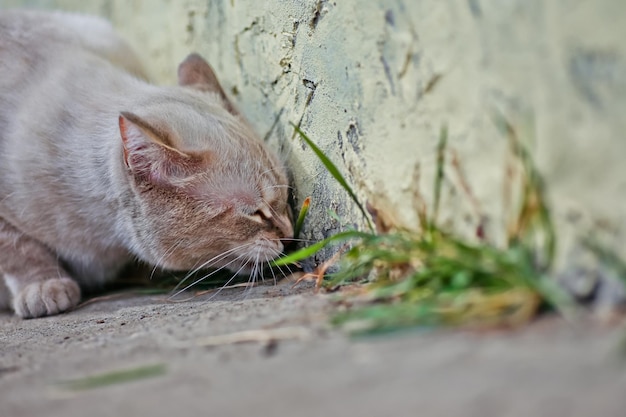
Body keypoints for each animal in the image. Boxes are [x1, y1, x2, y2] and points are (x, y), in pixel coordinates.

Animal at [0, 9, 292, 316]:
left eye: (285, 198)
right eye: (255, 213)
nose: (289, 234)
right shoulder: (6, 220)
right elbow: (20, 250)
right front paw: (44, 288)